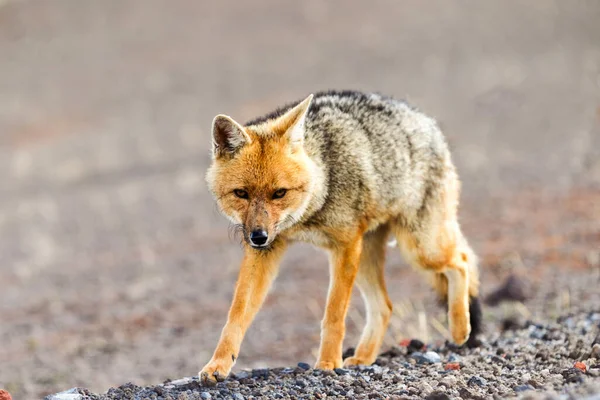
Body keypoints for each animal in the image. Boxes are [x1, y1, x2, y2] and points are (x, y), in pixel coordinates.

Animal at [202, 90, 482, 384]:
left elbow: (334, 314)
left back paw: (460, 329)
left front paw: (327, 362)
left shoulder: (344, 246)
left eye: (279, 193)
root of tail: (426, 120)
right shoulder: (267, 251)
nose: (258, 236)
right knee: (385, 306)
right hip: (370, 257)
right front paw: (218, 364)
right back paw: (363, 357)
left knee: (461, 262)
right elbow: (236, 315)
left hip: (419, 250)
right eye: (241, 193)